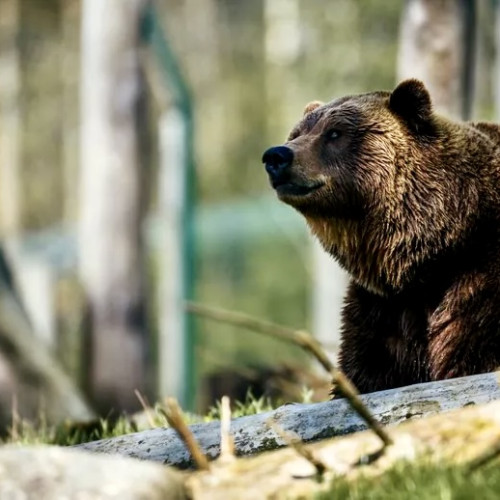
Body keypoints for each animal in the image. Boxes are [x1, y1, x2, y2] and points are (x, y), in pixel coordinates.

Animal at [262, 79, 500, 394]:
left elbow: (471, 351)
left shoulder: (478, 279)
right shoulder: (382, 309)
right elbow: (366, 370)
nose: (276, 156)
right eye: (297, 133)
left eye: (334, 133)